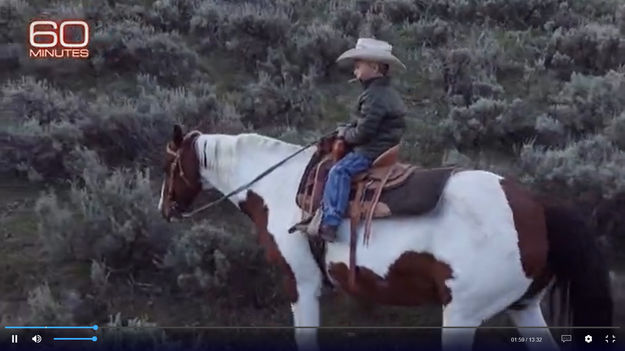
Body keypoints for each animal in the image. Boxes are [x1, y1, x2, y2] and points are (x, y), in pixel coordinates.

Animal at [158, 126, 612, 351]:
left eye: (169, 165)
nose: (166, 208)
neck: (281, 186)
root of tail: (536, 207)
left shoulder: (300, 283)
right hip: (524, 307)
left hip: (462, 313)